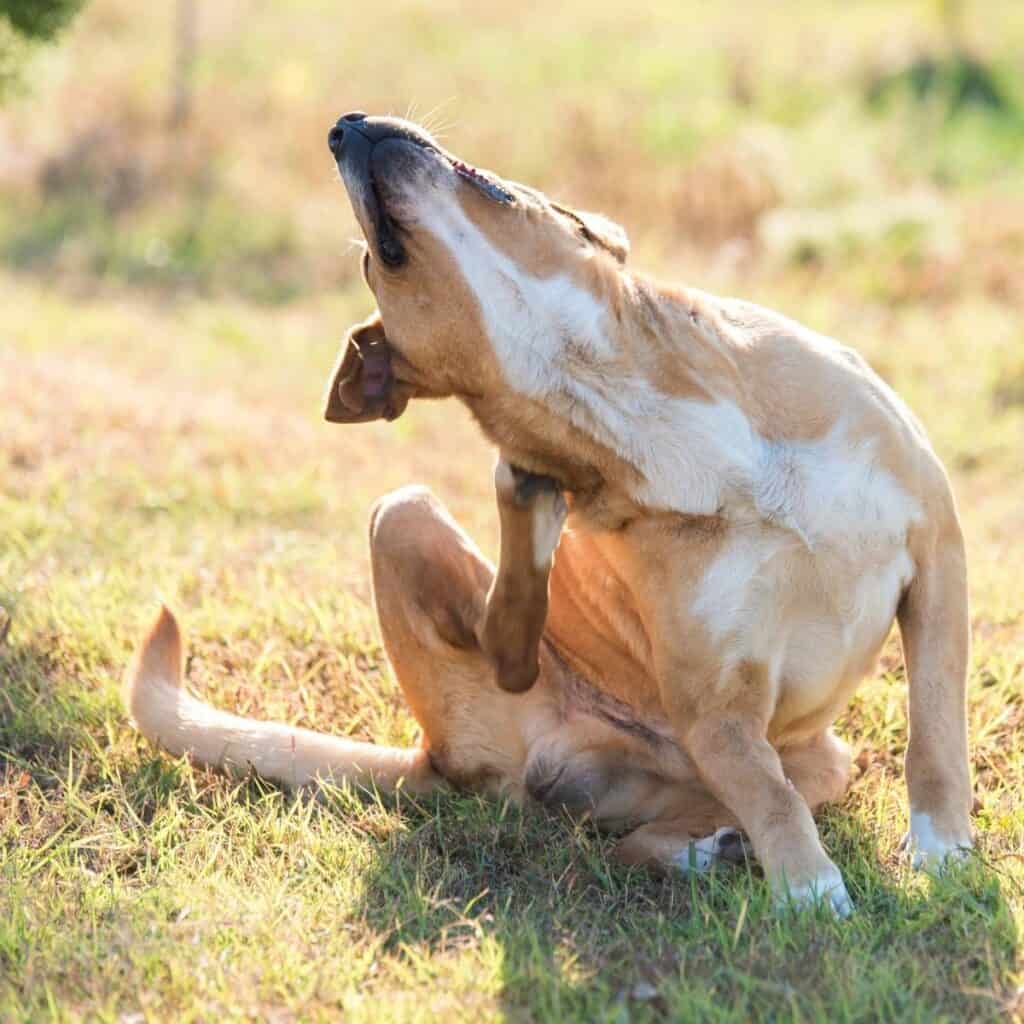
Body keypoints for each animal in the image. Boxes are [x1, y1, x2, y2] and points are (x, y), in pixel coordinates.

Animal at [123, 112, 970, 913]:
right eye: (371, 260)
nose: (341, 125)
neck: (602, 382)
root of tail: (434, 758)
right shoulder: (715, 711)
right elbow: (770, 799)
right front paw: (809, 892)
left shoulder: (936, 554)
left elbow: (932, 731)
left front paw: (942, 852)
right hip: (406, 514)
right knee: (519, 658)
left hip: (815, 759)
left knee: (678, 815)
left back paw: (713, 844)